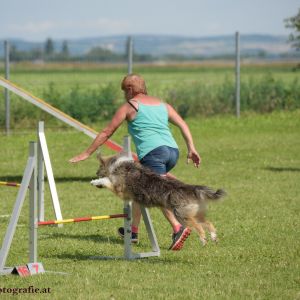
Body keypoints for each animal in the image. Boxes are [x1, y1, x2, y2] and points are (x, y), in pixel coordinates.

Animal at [91, 152, 225, 246]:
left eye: (99, 167)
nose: (95, 173)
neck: (116, 165)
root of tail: (190, 188)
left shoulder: (119, 190)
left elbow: (107, 181)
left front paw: (95, 181)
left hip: (182, 215)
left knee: (198, 227)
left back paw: (203, 240)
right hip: (195, 213)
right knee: (208, 222)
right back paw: (213, 237)